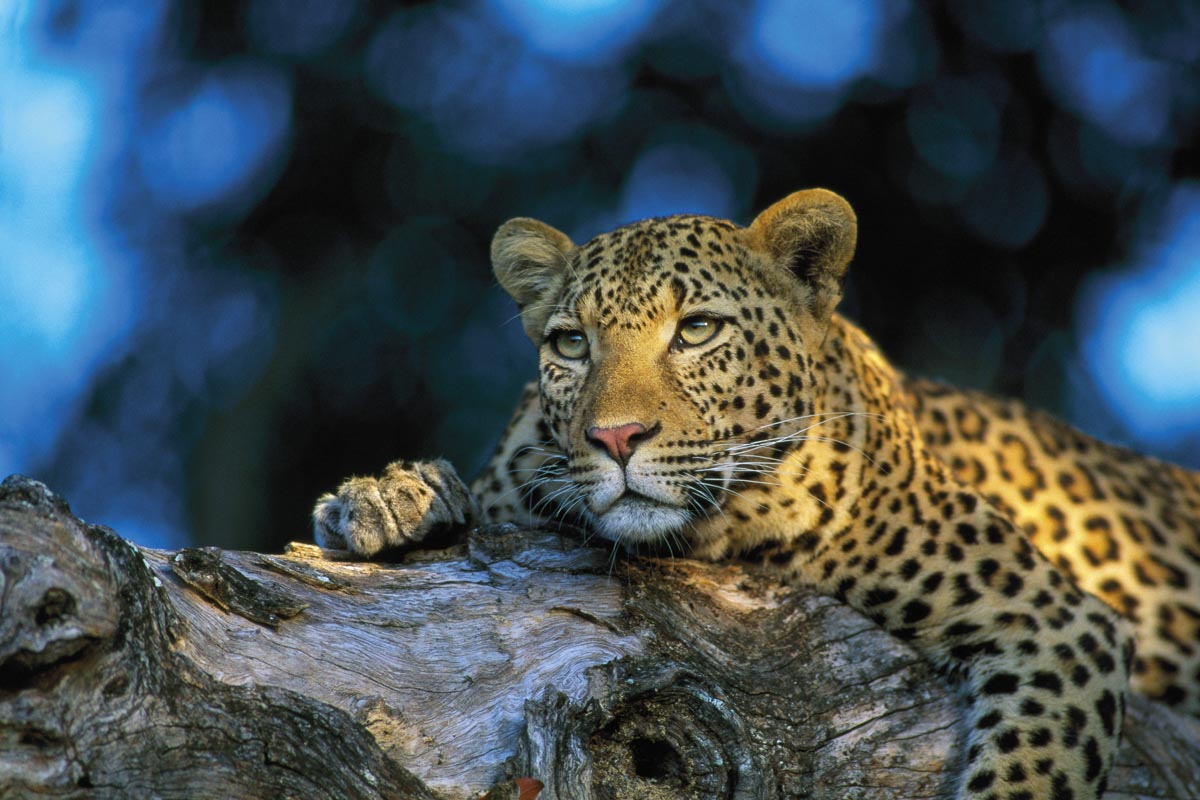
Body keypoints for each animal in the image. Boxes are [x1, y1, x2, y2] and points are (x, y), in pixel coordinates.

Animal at [313, 188, 1200, 799]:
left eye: (698, 330)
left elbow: (1026, 775)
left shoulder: (1054, 621)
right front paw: (392, 500)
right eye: (570, 344)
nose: (615, 439)